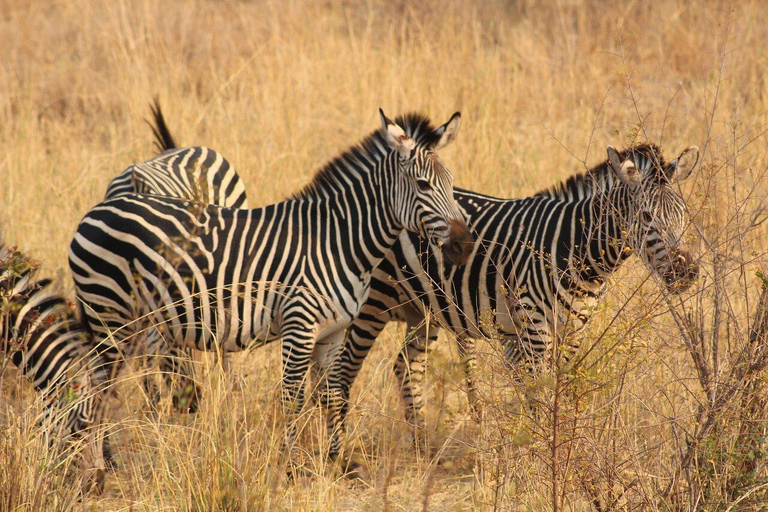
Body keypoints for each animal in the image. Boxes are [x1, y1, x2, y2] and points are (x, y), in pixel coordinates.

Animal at [67, 109, 474, 492]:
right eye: (423, 184)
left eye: (453, 182)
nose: (465, 246)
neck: (339, 240)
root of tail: (95, 211)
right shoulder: (299, 325)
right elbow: (293, 399)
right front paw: (291, 468)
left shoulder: (333, 332)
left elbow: (332, 395)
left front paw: (340, 462)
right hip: (110, 316)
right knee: (96, 394)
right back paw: (94, 475)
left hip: (128, 323)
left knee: (101, 393)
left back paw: (102, 468)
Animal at [328, 142, 700, 446]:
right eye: (647, 216)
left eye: (685, 214)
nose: (686, 273)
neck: (574, 248)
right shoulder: (533, 323)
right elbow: (539, 391)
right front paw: (543, 454)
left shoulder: (575, 326)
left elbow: (563, 388)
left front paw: (564, 445)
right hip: (374, 302)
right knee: (343, 369)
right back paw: (340, 450)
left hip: (425, 309)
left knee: (407, 367)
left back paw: (423, 446)